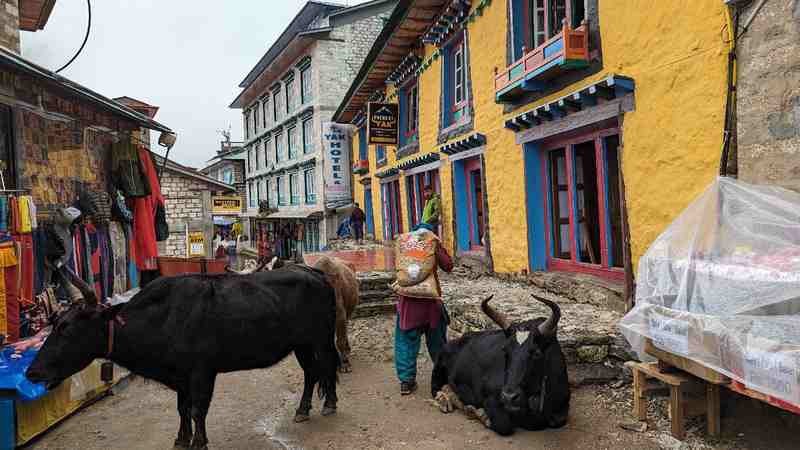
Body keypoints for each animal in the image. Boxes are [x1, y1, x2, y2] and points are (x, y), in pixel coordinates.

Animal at [27, 268, 340, 448]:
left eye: (70, 329)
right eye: (55, 324)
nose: (32, 372)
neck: (162, 318)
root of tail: (316, 273)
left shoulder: (202, 372)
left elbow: (197, 409)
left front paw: (198, 441)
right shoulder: (180, 377)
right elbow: (181, 409)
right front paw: (180, 439)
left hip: (321, 339)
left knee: (327, 365)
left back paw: (329, 405)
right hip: (301, 344)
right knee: (311, 372)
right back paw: (302, 410)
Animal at [432, 296, 568, 436]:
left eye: (536, 353)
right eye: (505, 350)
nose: (509, 397)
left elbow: (558, 421)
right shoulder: (491, 398)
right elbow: (504, 425)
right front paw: (481, 415)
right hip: (438, 368)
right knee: (437, 389)